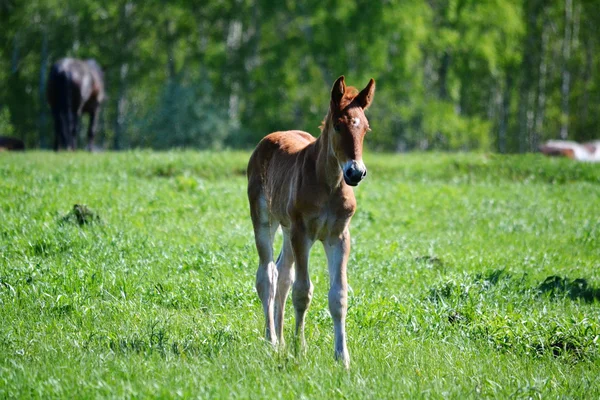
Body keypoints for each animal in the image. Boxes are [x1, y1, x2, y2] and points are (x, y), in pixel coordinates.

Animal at [246, 76, 372, 368]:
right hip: (266, 220)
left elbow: (339, 295)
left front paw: (342, 358)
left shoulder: (339, 236)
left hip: (288, 229)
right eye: (338, 125)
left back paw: (280, 340)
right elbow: (302, 291)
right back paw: (272, 340)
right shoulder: (302, 233)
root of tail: (267, 139)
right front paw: (299, 349)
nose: (355, 172)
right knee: (267, 275)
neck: (329, 184)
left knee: (283, 274)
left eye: (365, 129)